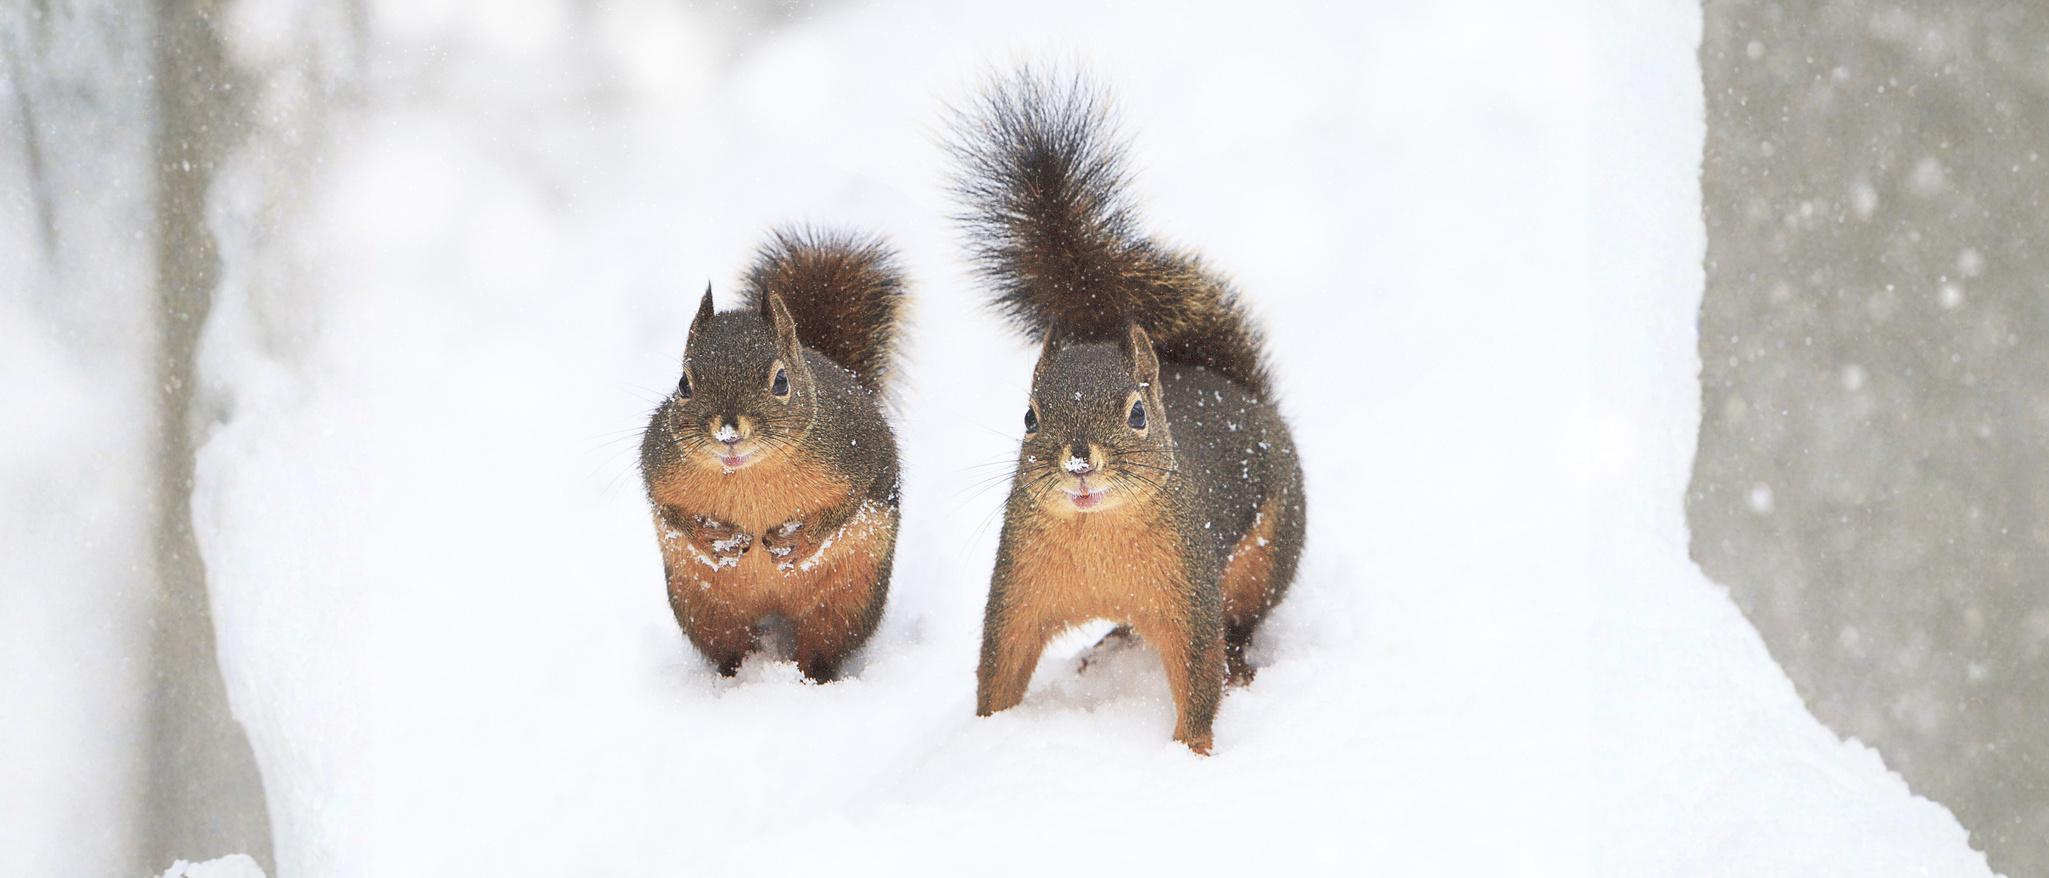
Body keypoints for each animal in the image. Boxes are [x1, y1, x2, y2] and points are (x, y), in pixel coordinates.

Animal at [639, 229, 906, 683]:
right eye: (683, 383)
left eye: (781, 382)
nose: (728, 432)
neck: (748, 475)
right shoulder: (657, 461)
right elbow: (665, 508)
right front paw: (709, 537)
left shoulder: (864, 460)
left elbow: (849, 507)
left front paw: (801, 539)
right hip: (704, 608)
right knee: (730, 648)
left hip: (847, 601)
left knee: (821, 647)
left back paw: (811, 679)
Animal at [951, 71, 1308, 754]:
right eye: (1030, 417)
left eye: (1138, 414)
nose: (1079, 461)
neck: (1096, 534)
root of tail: (1239, 391)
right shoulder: (1017, 595)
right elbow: (999, 666)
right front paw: (986, 735)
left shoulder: (1190, 598)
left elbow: (1199, 676)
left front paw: (1190, 753)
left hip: (1268, 554)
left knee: (1243, 622)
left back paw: (1240, 661)